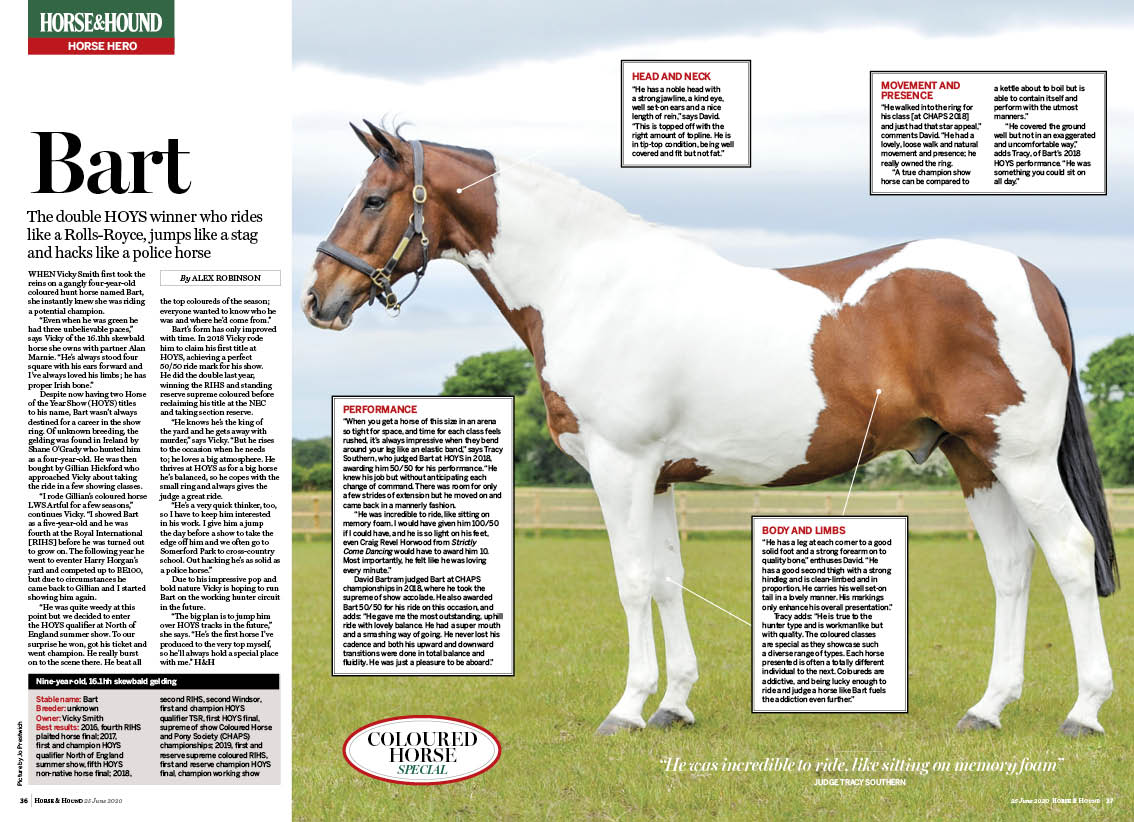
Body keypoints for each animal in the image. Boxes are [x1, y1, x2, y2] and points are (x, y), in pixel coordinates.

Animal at [302, 121, 1118, 737]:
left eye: (373, 199)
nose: (319, 298)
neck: (587, 285)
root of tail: (1030, 273)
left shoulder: (619, 466)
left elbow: (633, 582)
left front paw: (627, 710)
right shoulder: (659, 477)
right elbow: (667, 581)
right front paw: (673, 704)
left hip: (1023, 459)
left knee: (1071, 557)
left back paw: (1083, 711)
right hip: (974, 458)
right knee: (1011, 569)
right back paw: (988, 709)